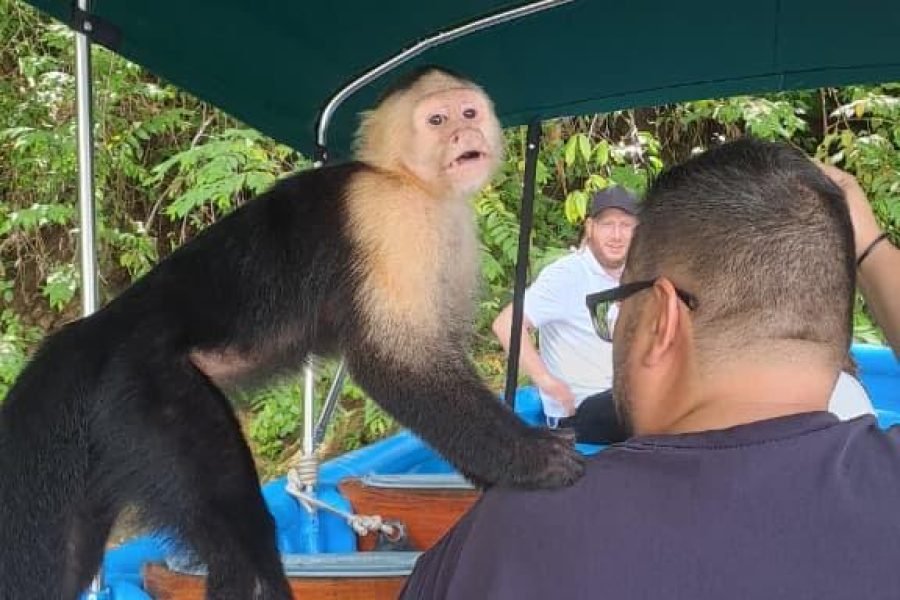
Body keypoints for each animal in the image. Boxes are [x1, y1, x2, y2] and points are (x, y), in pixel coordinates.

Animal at [0, 67, 583, 599]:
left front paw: (492, 480)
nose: (464, 135)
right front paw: (530, 458)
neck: (407, 179)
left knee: (69, 556)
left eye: (467, 112)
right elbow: (394, 361)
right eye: (437, 120)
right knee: (240, 541)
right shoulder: (392, 216)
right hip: (144, 391)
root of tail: (94, 332)